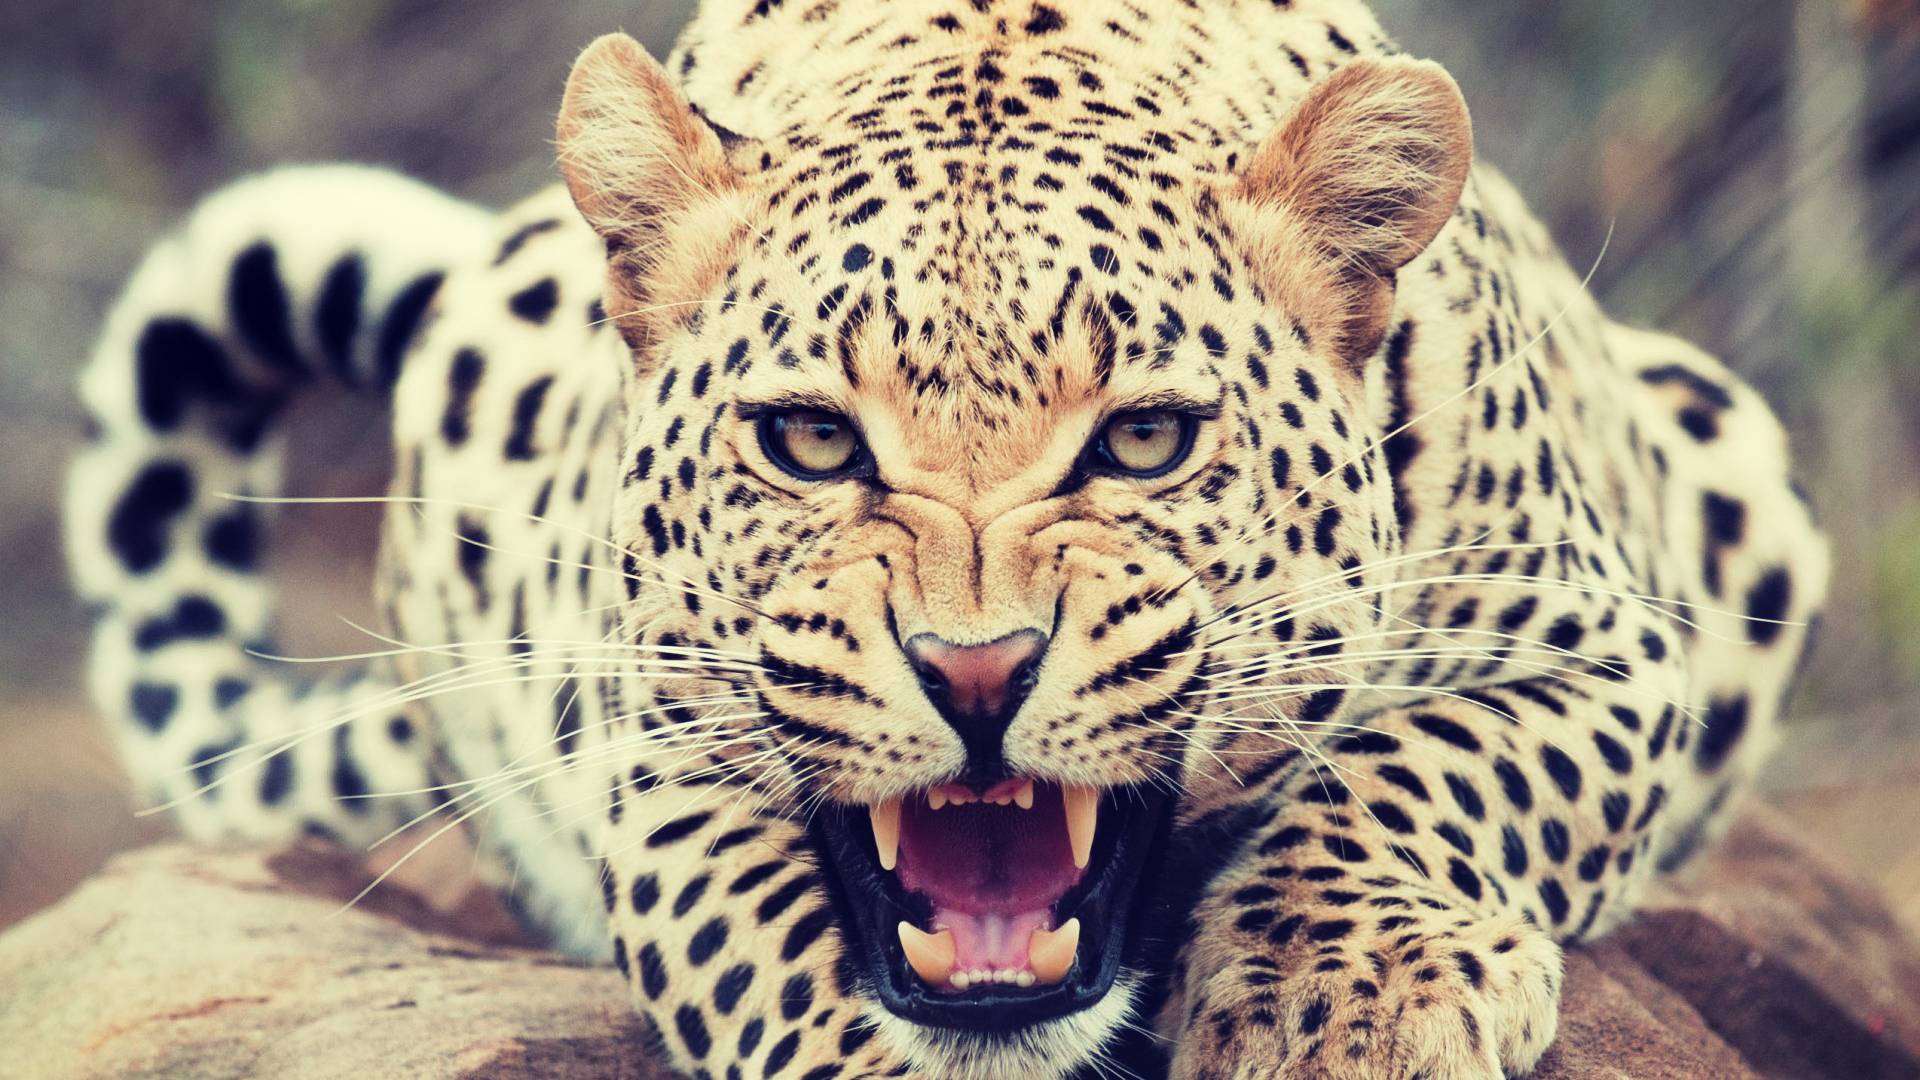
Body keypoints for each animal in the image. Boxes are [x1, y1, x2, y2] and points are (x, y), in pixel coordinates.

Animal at [65, 1, 1830, 1077]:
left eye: (1144, 441)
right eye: (809, 441)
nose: (977, 674)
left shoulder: (1606, 645)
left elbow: (1423, 769)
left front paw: (1349, 1007)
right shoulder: (660, 757)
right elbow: (779, 962)